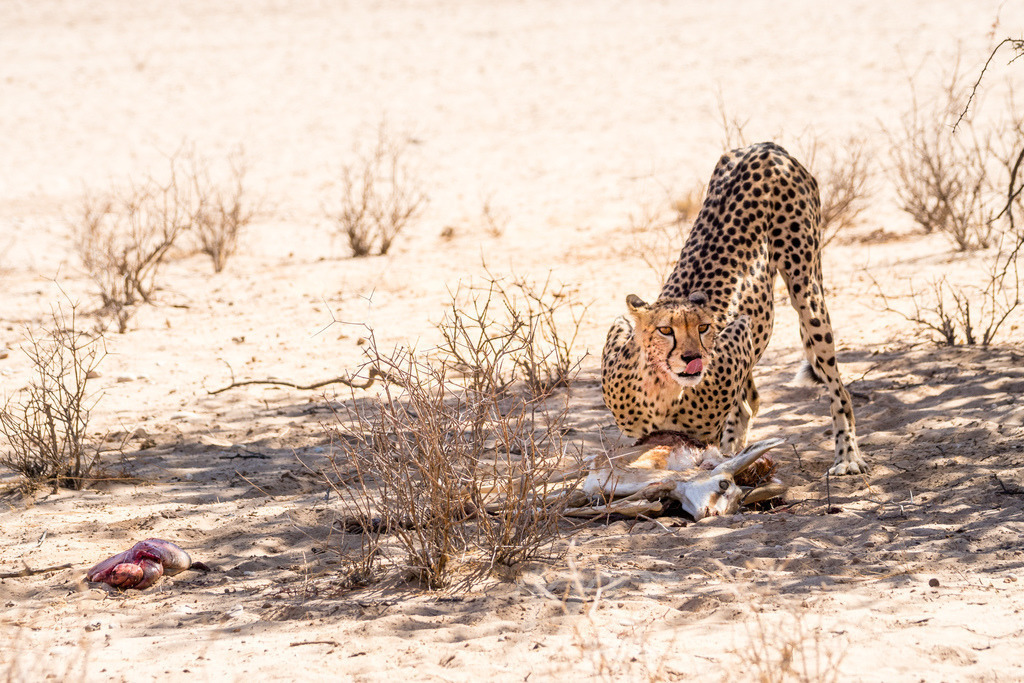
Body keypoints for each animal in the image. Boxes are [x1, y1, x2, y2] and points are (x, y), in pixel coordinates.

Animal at [602, 141, 866, 476]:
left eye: (704, 328)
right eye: (665, 330)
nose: (693, 358)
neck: (663, 390)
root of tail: (765, 146)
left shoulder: (739, 334)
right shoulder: (619, 328)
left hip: (807, 291)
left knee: (836, 388)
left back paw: (847, 457)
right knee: (750, 401)